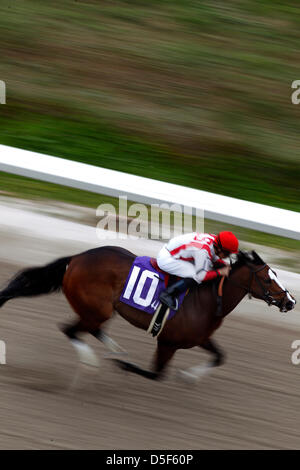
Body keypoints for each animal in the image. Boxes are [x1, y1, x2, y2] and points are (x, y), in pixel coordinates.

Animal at [0, 246, 296, 382]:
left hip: (97, 311)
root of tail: (76, 258)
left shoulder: (199, 338)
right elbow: (156, 374)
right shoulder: (168, 342)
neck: (208, 299)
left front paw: (189, 376)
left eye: (275, 274)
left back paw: (114, 351)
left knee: (86, 329)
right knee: (71, 329)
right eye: (268, 279)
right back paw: (94, 362)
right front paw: (123, 366)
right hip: (97, 309)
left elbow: (220, 356)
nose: (291, 301)